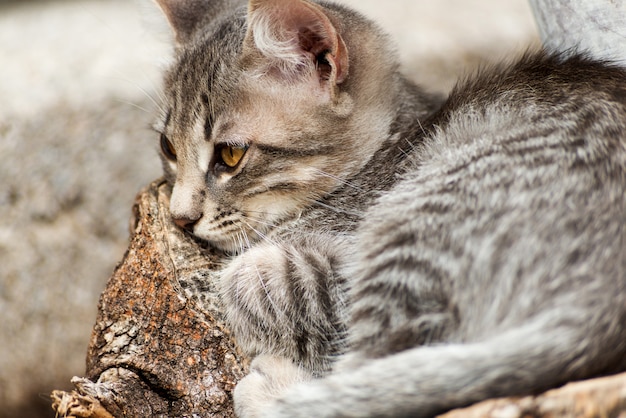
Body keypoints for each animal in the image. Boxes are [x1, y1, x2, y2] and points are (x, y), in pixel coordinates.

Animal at [152, 0, 624, 418]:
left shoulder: (336, 272)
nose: (180, 216)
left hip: (423, 221)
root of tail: (605, 302)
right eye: (167, 147)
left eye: (230, 155)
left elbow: (250, 281)